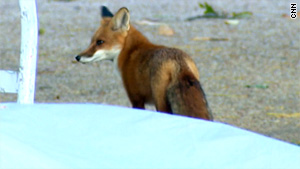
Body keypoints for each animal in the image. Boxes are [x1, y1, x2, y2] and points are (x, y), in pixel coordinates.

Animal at [75, 6, 213, 120]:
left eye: (100, 42)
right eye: (91, 41)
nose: (77, 57)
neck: (130, 52)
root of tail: (177, 62)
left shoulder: (136, 98)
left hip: (160, 102)